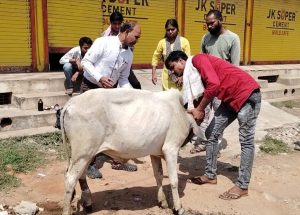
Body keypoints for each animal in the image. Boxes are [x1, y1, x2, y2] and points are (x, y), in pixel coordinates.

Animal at [61, 88, 199, 215]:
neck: (180, 111)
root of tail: (72, 102)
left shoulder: (155, 152)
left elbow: (158, 175)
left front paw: (162, 201)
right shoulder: (171, 149)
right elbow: (174, 180)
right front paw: (178, 208)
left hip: (87, 154)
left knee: (81, 175)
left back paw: (88, 204)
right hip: (82, 153)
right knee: (70, 179)